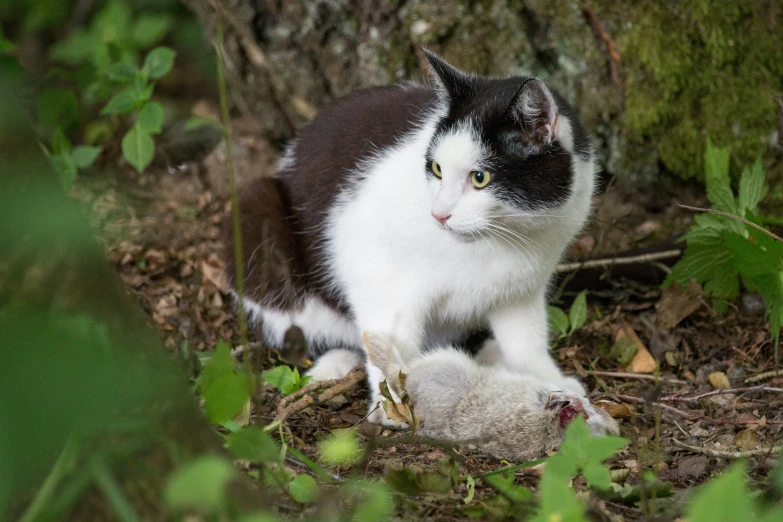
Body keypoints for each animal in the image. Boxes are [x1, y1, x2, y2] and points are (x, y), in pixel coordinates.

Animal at [224, 49, 596, 422]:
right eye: (437, 169)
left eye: (480, 177)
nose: (439, 215)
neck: (498, 239)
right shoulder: (368, 258)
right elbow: (388, 341)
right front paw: (394, 406)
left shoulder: (523, 284)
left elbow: (525, 337)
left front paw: (548, 378)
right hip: (256, 215)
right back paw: (336, 362)